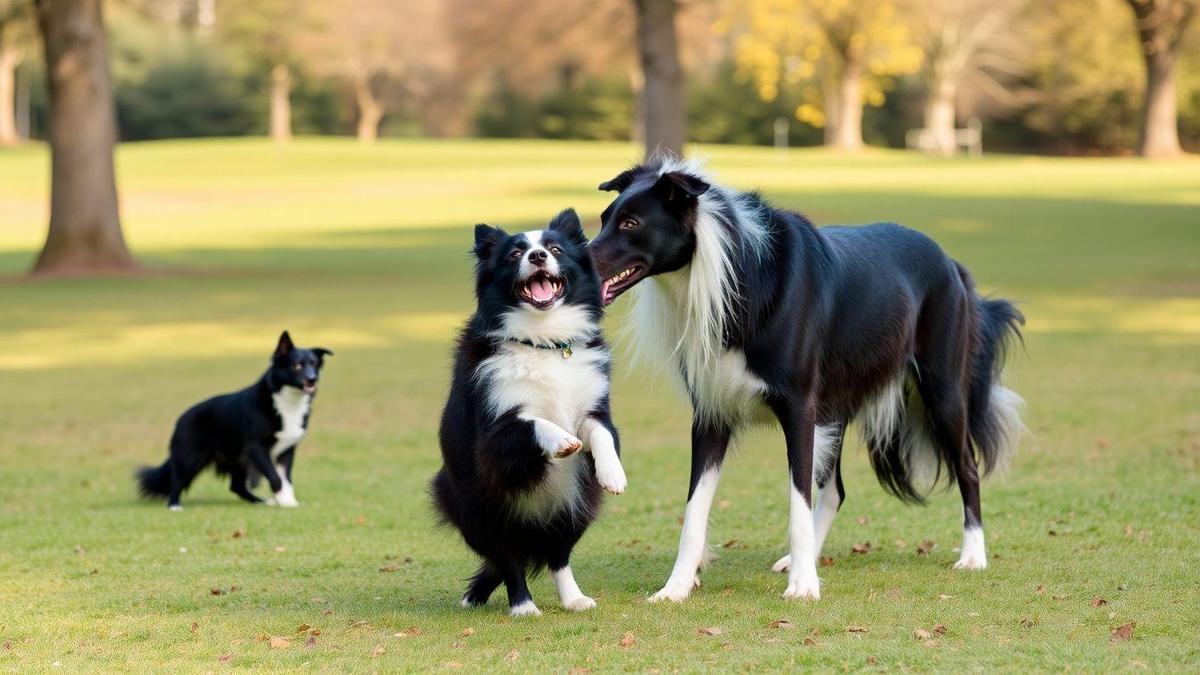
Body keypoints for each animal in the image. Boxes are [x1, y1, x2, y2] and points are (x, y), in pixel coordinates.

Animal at [138, 331, 331, 509]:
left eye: (315, 365)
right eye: (296, 365)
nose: (312, 379)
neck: (285, 401)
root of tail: (181, 418)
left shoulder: (287, 449)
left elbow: (286, 478)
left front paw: (288, 501)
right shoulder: (256, 447)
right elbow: (276, 477)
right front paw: (283, 500)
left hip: (238, 460)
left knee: (236, 487)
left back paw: (259, 502)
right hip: (189, 457)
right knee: (177, 480)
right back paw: (174, 505)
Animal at [432, 208, 628, 614]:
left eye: (555, 248)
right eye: (514, 253)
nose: (537, 256)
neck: (545, 341)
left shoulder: (595, 407)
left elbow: (601, 433)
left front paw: (613, 473)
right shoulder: (492, 439)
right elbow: (531, 422)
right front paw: (564, 441)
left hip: (577, 503)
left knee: (558, 554)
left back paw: (574, 599)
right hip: (480, 506)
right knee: (507, 559)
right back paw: (521, 606)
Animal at [590, 157, 1022, 598]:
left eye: (630, 223)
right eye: (605, 219)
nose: (580, 264)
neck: (736, 272)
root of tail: (951, 263)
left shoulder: (799, 408)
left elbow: (798, 498)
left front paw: (803, 586)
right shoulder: (712, 412)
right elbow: (695, 508)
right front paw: (676, 587)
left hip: (942, 391)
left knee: (967, 467)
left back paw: (972, 555)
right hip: (835, 406)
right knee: (835, 490)